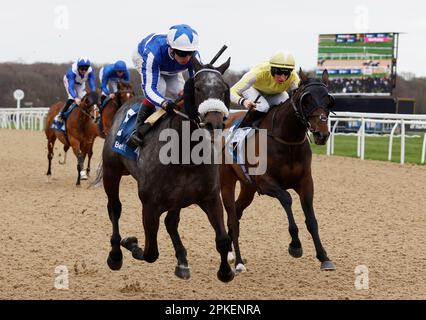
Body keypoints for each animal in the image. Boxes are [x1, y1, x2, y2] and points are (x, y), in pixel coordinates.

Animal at [97, 56, 236, 282]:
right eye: (197, 87)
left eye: (224, 88)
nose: (213, 123)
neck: (185, 152)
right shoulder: (150, 205)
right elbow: (150, 253)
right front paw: (130, 242)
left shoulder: (210, 197)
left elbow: (223, 240)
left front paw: (225, 271)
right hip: (111, 172)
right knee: (115, 208)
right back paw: (116, 254)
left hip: (177, 198)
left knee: (171, 221)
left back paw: (182, 261)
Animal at [223, 69, 336, 272]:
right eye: (306, 100)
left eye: (328, 99)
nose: (322, 134)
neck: (287, 139)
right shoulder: (265, 183)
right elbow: (287, 198)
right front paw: (295, 245)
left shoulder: (306, 182)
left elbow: (312, 220)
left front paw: (324, 256)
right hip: (226, 182)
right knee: (232, 217)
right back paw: (238, 262)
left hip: (247, 188)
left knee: (236, 211)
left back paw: (229, 253)